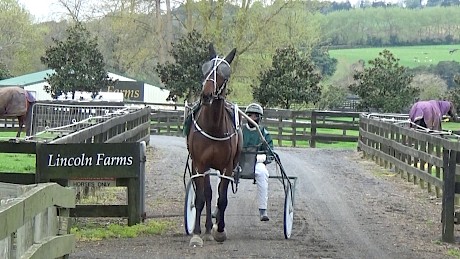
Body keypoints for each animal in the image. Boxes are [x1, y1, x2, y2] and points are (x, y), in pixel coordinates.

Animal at [187, 43, 243, 247]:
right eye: (206, 70)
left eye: (224, 73)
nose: (206, 95)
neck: (213, 127)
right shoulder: (200, 164)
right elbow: (202, 197)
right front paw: (197, 233)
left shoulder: (227, 167)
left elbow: (223, 198)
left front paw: (220, 230)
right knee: (207, 194)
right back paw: (206, 229)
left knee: (217, 195)